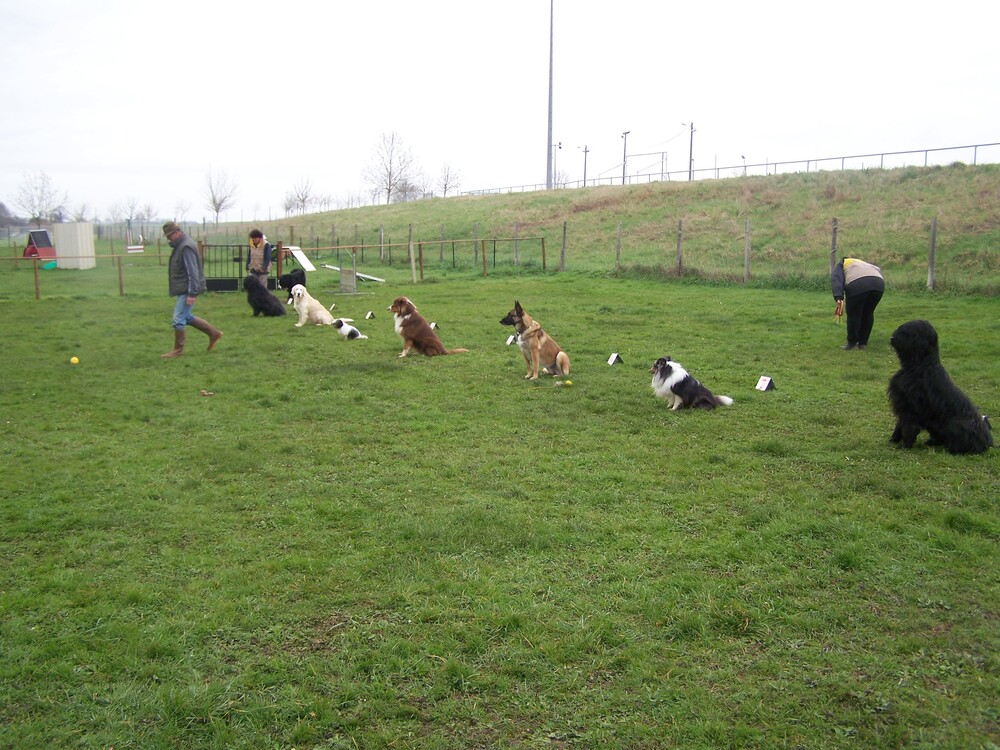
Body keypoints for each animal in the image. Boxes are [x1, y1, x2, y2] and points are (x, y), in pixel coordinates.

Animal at [892, 320, 992, 456]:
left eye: (907, 332)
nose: (892, 338)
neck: (920, 366)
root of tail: (988, 442)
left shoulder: (910, 408)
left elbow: (908, 427)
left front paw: (904, 445)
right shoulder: (903, 404)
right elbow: (899, 425)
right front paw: (893, 439)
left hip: (956, 426)